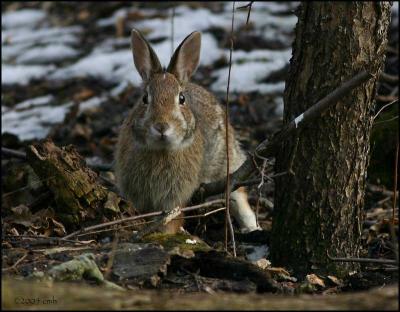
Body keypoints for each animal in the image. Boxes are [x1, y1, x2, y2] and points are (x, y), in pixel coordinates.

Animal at [115, 29, 260, 234]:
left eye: (181, 99)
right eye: (144, 99)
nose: (161, 126)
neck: (161, 150)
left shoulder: (176, 197)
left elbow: (172, 219)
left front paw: (169, 233)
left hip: (225, 164)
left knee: (237, 195)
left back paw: (252, 228)